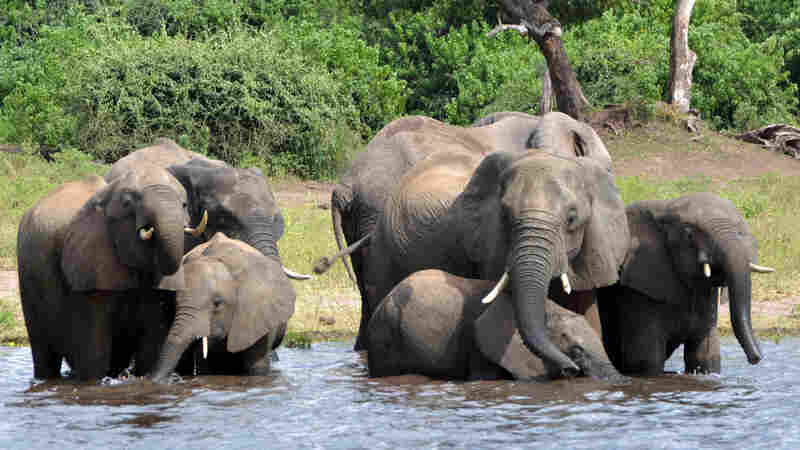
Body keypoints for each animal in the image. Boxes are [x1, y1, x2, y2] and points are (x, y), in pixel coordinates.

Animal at [17, 167, 207, 380]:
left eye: (184, 205)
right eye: (128, 204)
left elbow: (152, 344)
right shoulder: (89, 260)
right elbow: (94, 350)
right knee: (43, 352)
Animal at [596, 192, 774, 375]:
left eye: (740, 233)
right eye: (689, 235)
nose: (755, 359)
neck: (665, 208)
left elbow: (705, 357)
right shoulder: (636, 293)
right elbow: (645, 361)